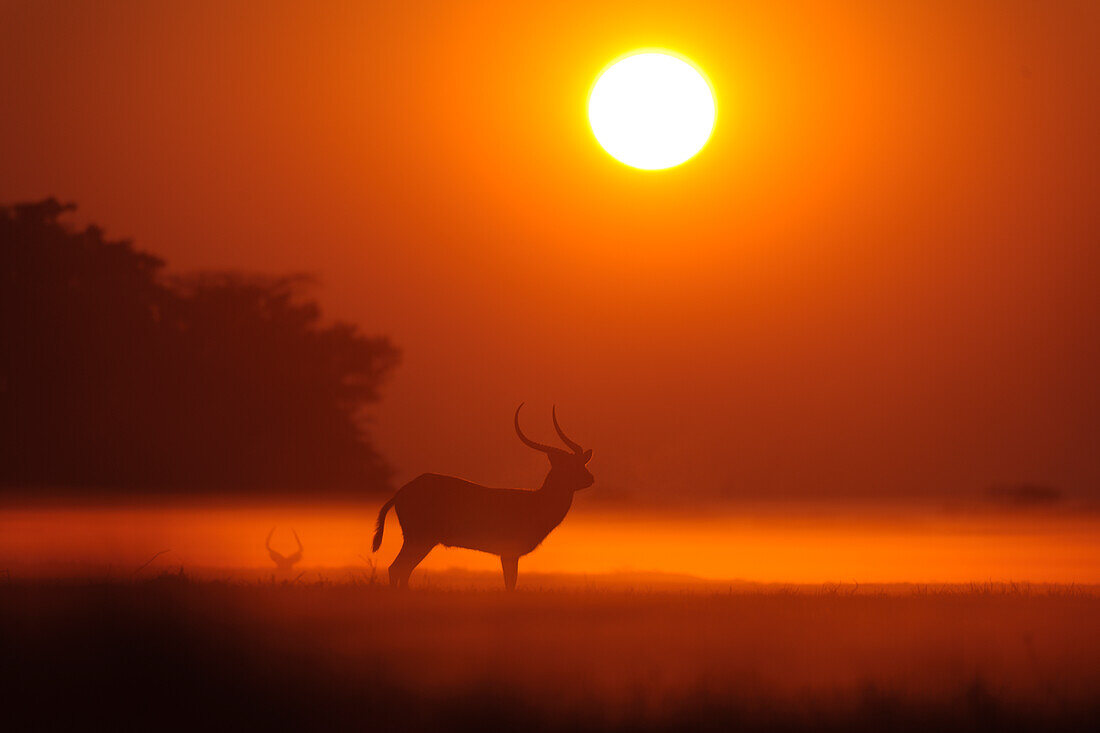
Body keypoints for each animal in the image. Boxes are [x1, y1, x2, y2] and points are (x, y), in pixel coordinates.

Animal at [369, 405, 594, 589]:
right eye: (570, 466)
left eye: (581, 463)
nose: (590, 479)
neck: (535, 502)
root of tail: (400, 492)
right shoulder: (509, 554)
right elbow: (510, 585)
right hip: (419, 539)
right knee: (396, 569)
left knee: (401, 570)